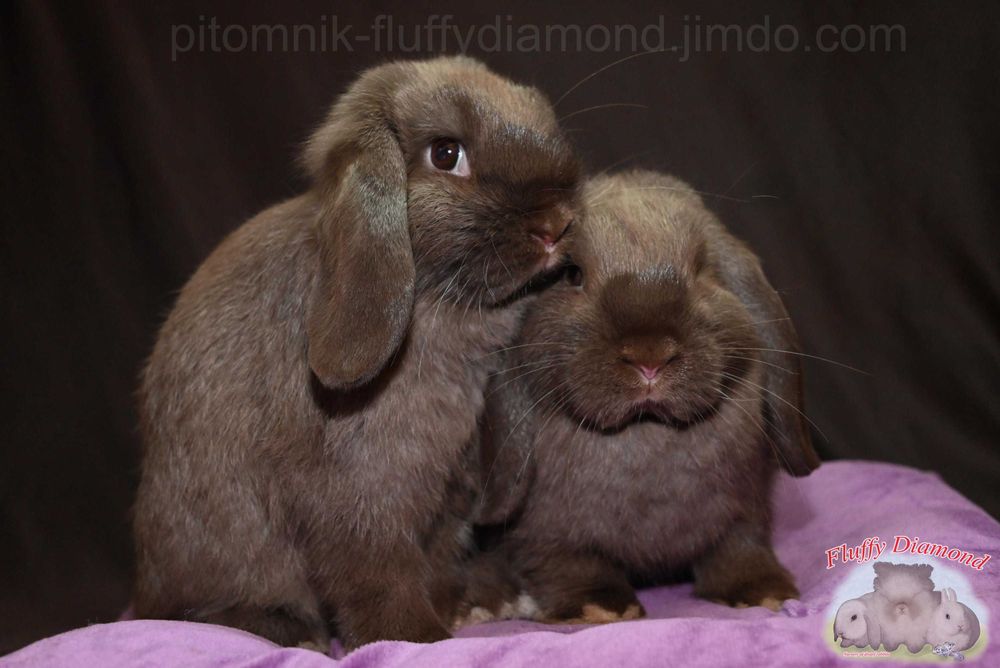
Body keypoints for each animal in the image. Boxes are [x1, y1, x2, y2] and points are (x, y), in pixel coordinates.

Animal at [132, 56, 580, 651]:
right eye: (446, 154)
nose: (556, 223)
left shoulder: (450, 490)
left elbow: (436, 560)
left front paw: (450, 613)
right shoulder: (354, 490)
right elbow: (373, 571)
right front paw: (415, 638)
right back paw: (291, 632)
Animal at [473, 170, 819, 623]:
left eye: (703, 269)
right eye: (572, 274)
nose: (649, 355)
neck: (647, 433)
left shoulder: (745, 509)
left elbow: (738, 548)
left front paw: (764, 593)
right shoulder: (544, 533)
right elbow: (565, 562)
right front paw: (601, 608)